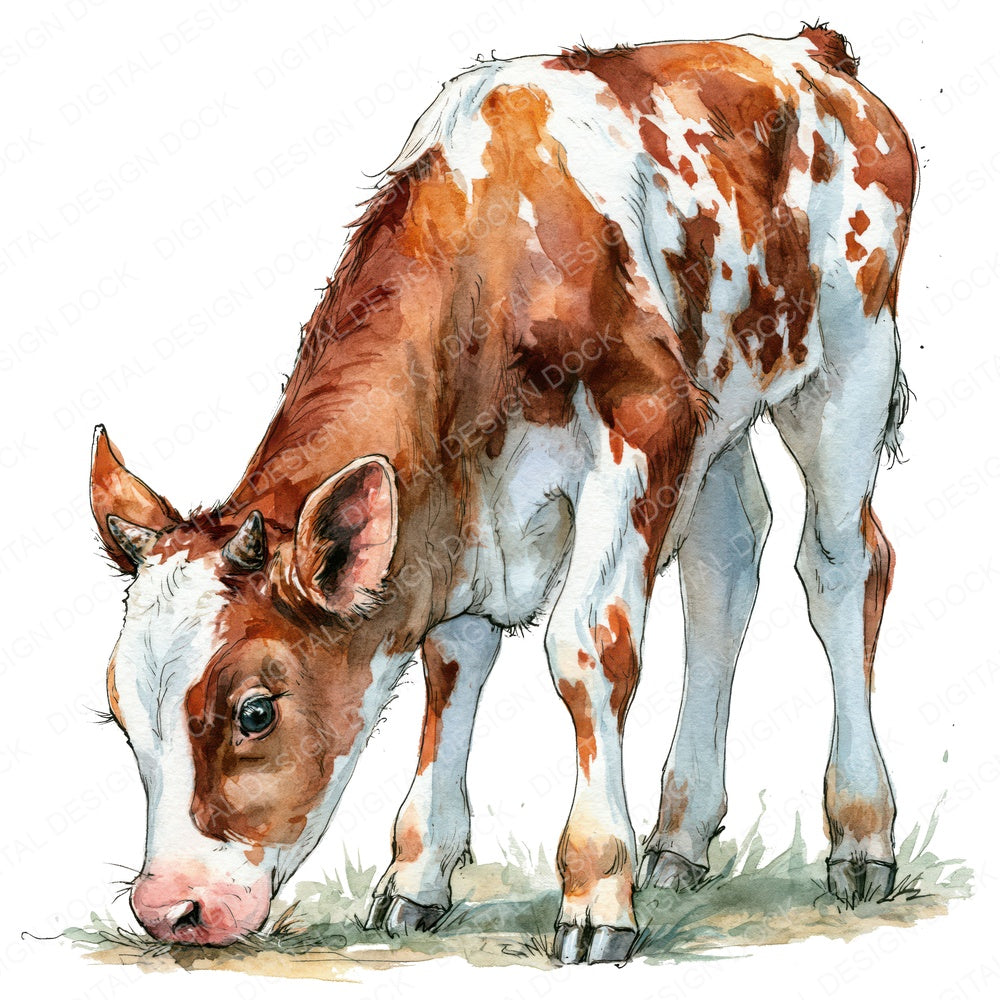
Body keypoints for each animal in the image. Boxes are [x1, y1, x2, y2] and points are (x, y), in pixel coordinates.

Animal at [89, 25, 916, 965]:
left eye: (255, 711)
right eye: (122, 715)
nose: (172, 910)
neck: (491, 257)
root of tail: (809, 51)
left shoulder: (647, 423)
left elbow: (586, 648)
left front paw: (596, 891)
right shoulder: (465, 519)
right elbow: (453, 667)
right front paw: (416, 878)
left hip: (849, 362)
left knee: (842, 565)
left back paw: (861, 837)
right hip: (723, 410)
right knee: (726, 564)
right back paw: (679, 839)